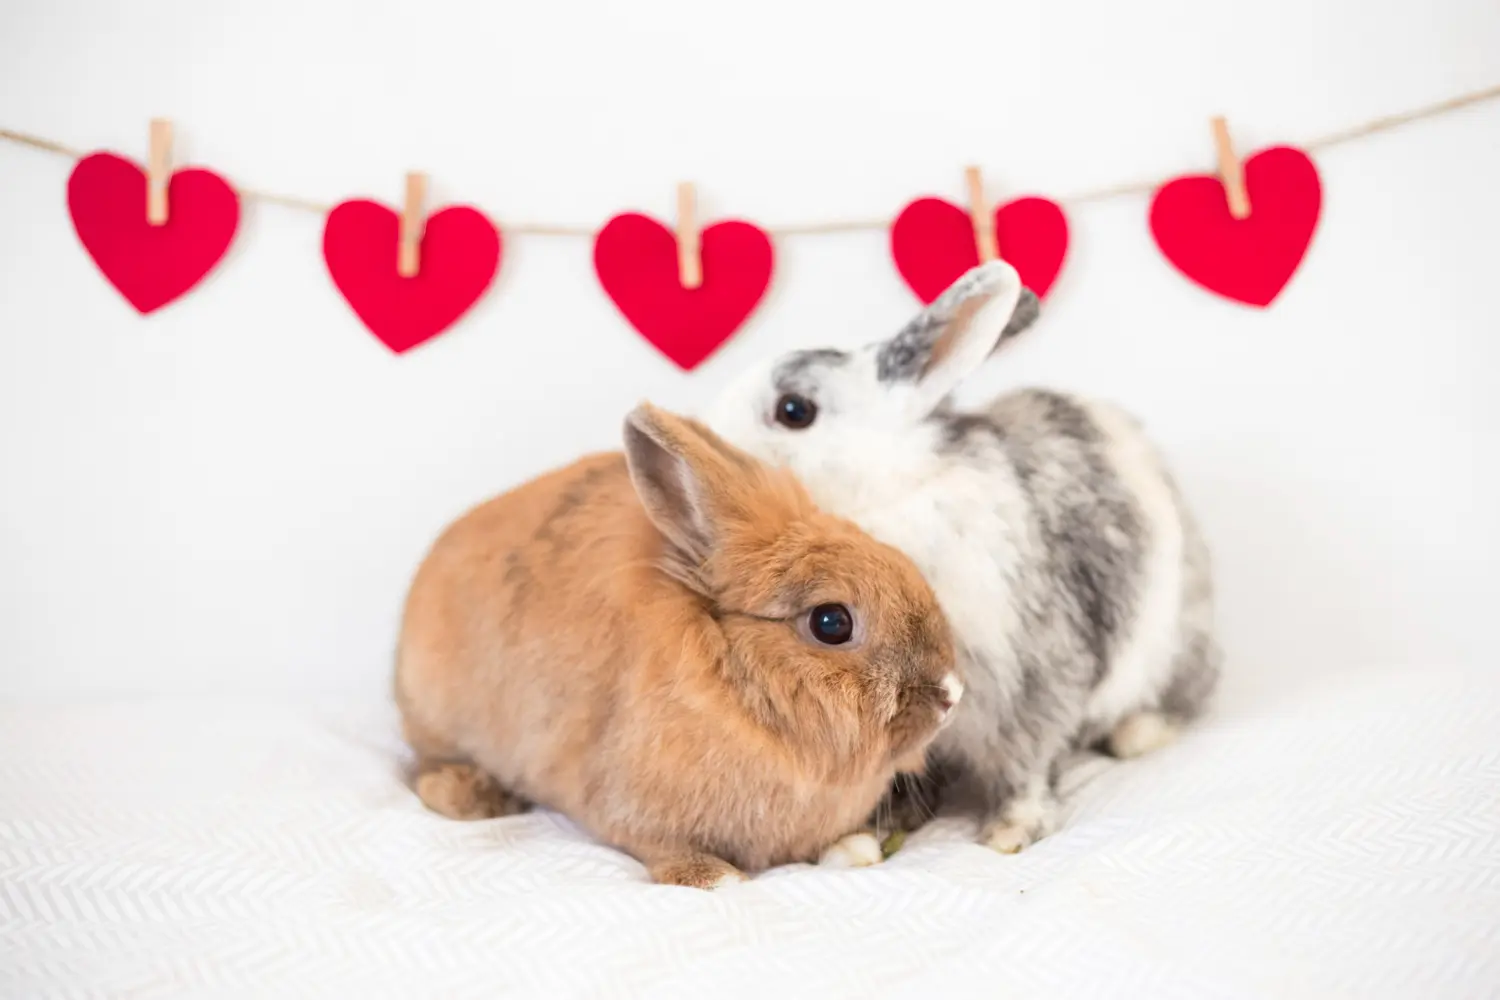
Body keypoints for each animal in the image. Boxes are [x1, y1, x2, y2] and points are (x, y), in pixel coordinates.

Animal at [394, 401, 964, 888]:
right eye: (831, 622)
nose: (951, 693)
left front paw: (856, 850)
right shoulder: (630, 807)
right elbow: (664, 848)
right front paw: (717, 878)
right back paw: (475, 798)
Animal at [701, 260, 1221, 854]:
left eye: (794, 410)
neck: (888, 491)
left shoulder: (1030, 676)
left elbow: (1027, 762)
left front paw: (1010, 832)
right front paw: (864, 836)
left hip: (1174, 643)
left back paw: (1138, 735)